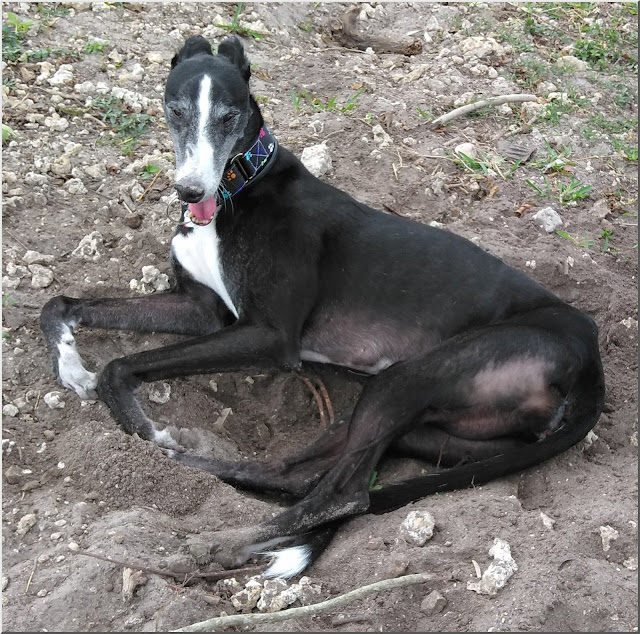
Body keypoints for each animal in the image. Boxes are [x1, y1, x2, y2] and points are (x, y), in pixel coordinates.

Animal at [41, 35, 604, 576]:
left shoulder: (269, 336)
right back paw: (185, 461)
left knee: (343, 492)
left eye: (228, 116)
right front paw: (74, 368)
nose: (190, 191)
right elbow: (59, 306)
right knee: (292, 474)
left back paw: (218, 543)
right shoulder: (201, 311)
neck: (239, 188)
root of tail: (591, 359)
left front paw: (141, 426)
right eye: (176, 110)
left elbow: (118, 365)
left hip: (408, 379)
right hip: (425, 427)